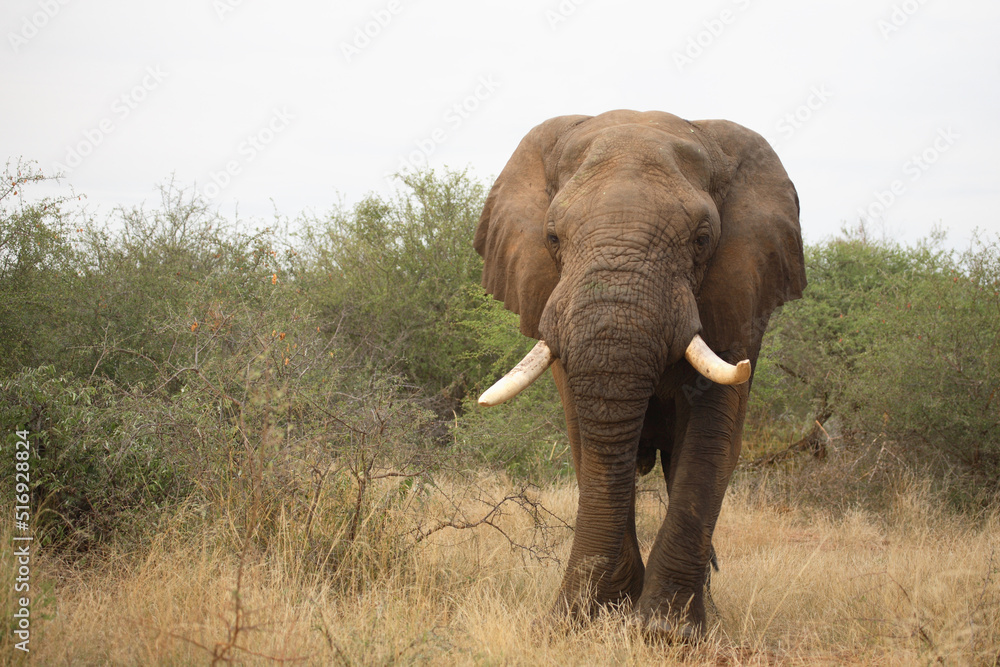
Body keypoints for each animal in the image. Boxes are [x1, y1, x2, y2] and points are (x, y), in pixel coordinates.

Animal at [472, 111, 808, 640]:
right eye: (552, 238)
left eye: (702, 240)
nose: (568, 616)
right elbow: (587, 440)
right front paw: (586, 618)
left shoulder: (739, 297)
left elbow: (711, 435)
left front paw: (666, 633)